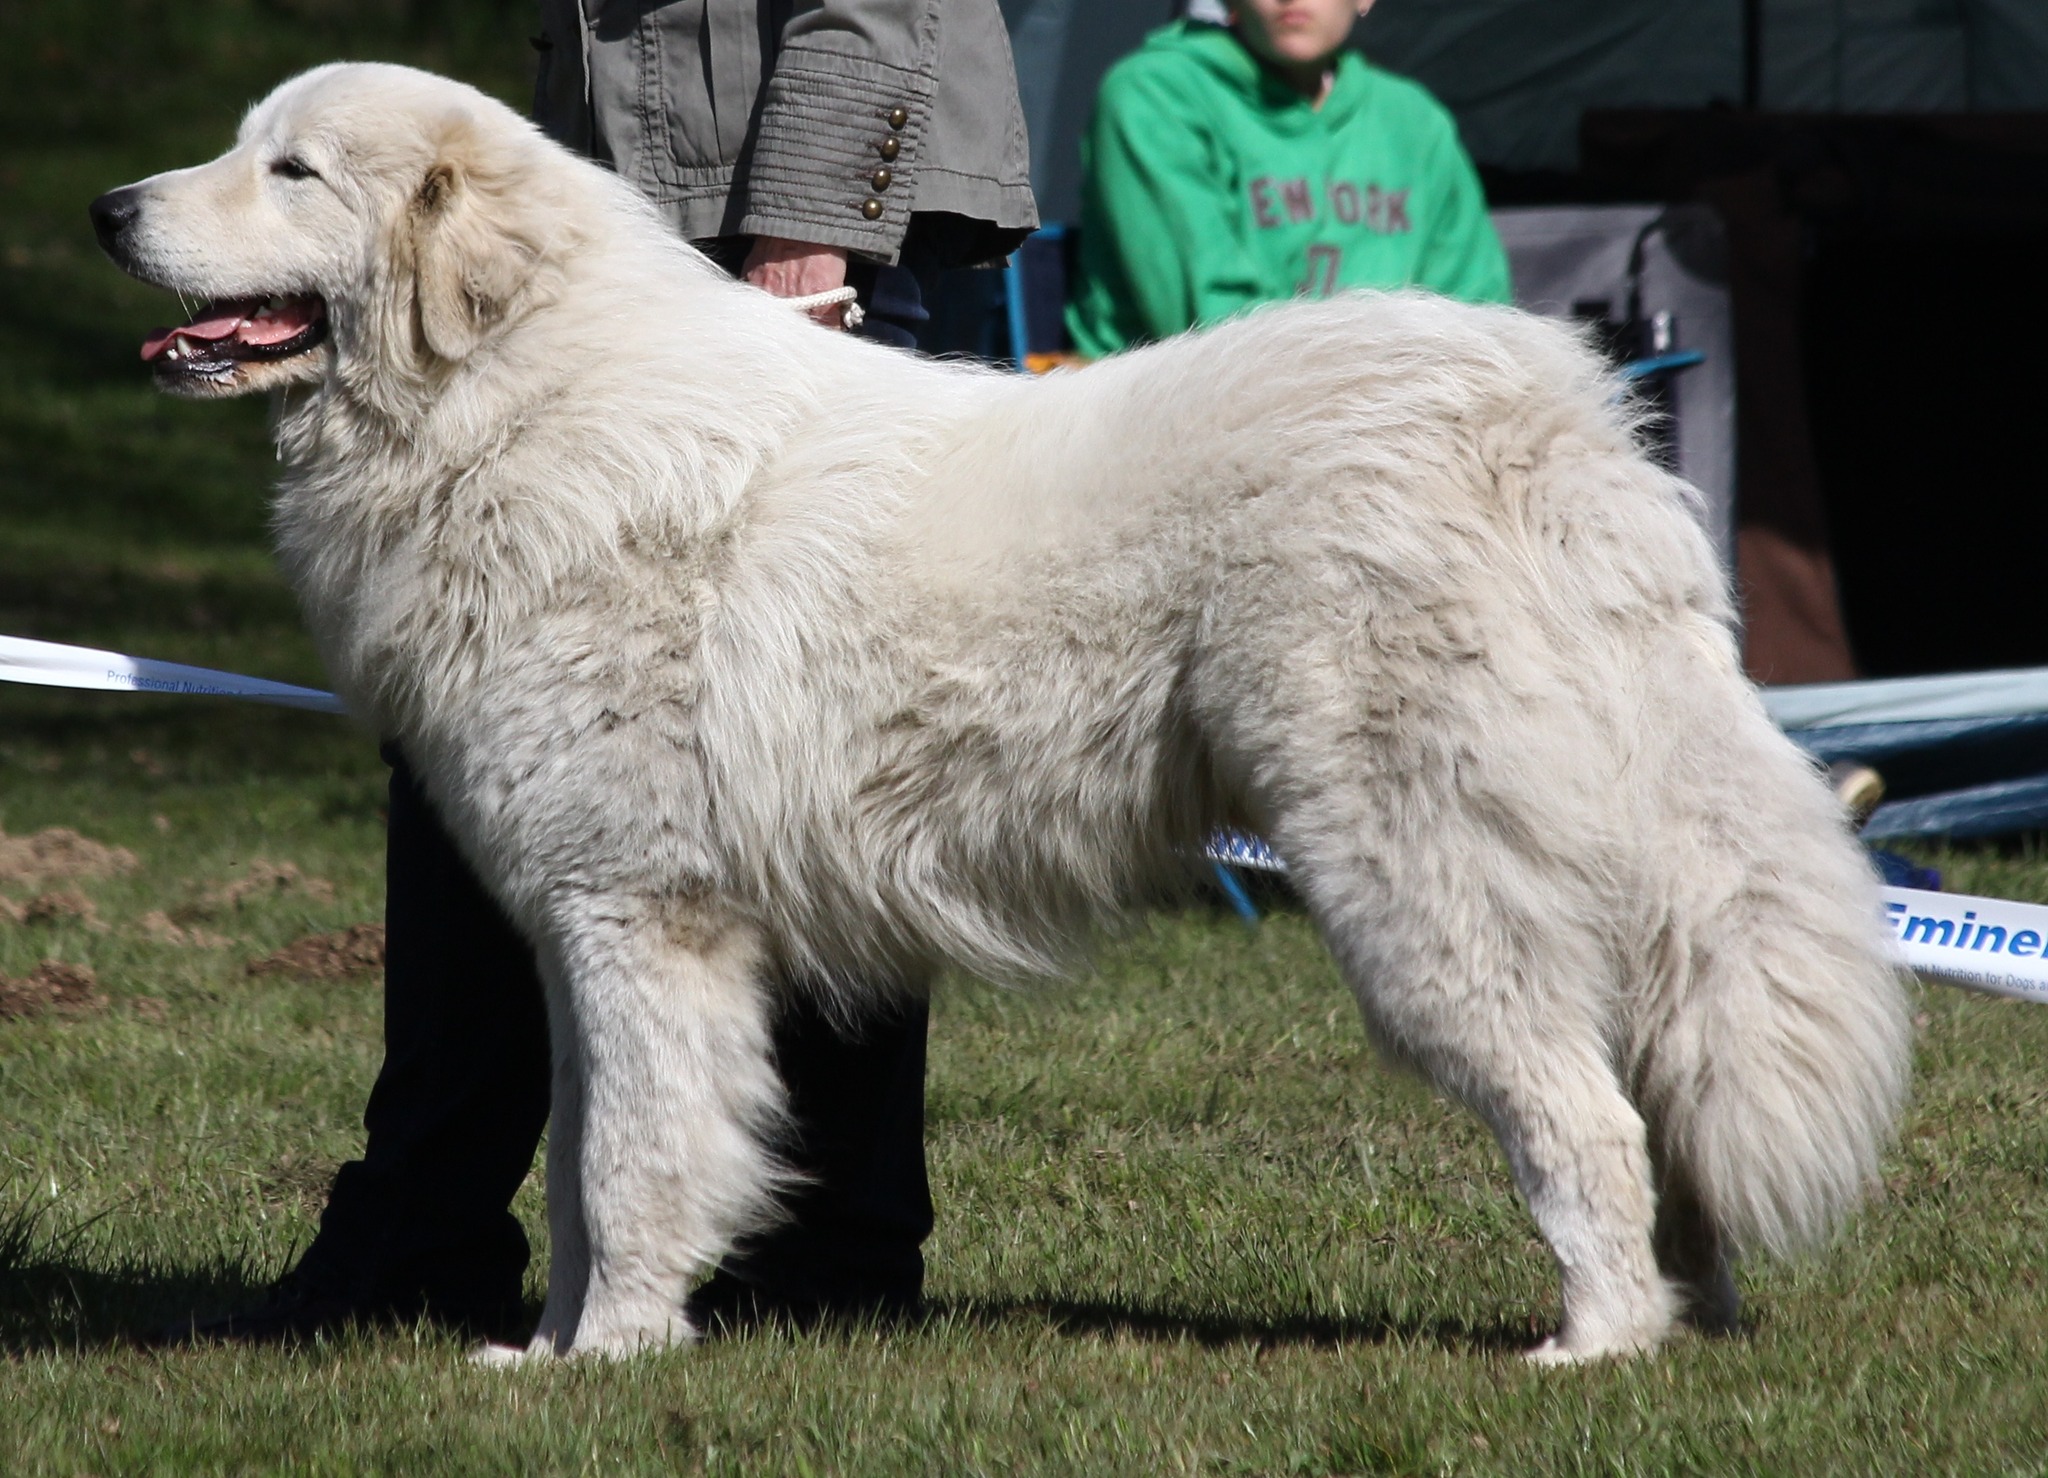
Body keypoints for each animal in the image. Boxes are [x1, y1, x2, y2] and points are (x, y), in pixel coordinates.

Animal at [92, 66, 1916, 1359]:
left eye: (292, 171)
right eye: (243, 151)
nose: (109, 207)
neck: (510, 395)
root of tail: (1546, 411)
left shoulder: (639, 913)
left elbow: (625, 1160)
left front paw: (605, 1358)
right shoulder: (579, 928)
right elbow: (592, 1151)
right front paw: (552, 1348)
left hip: (1416, 886)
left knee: (1584, 1114)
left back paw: (1595, 1348)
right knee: (1664, 1106)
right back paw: (1694, 1322)